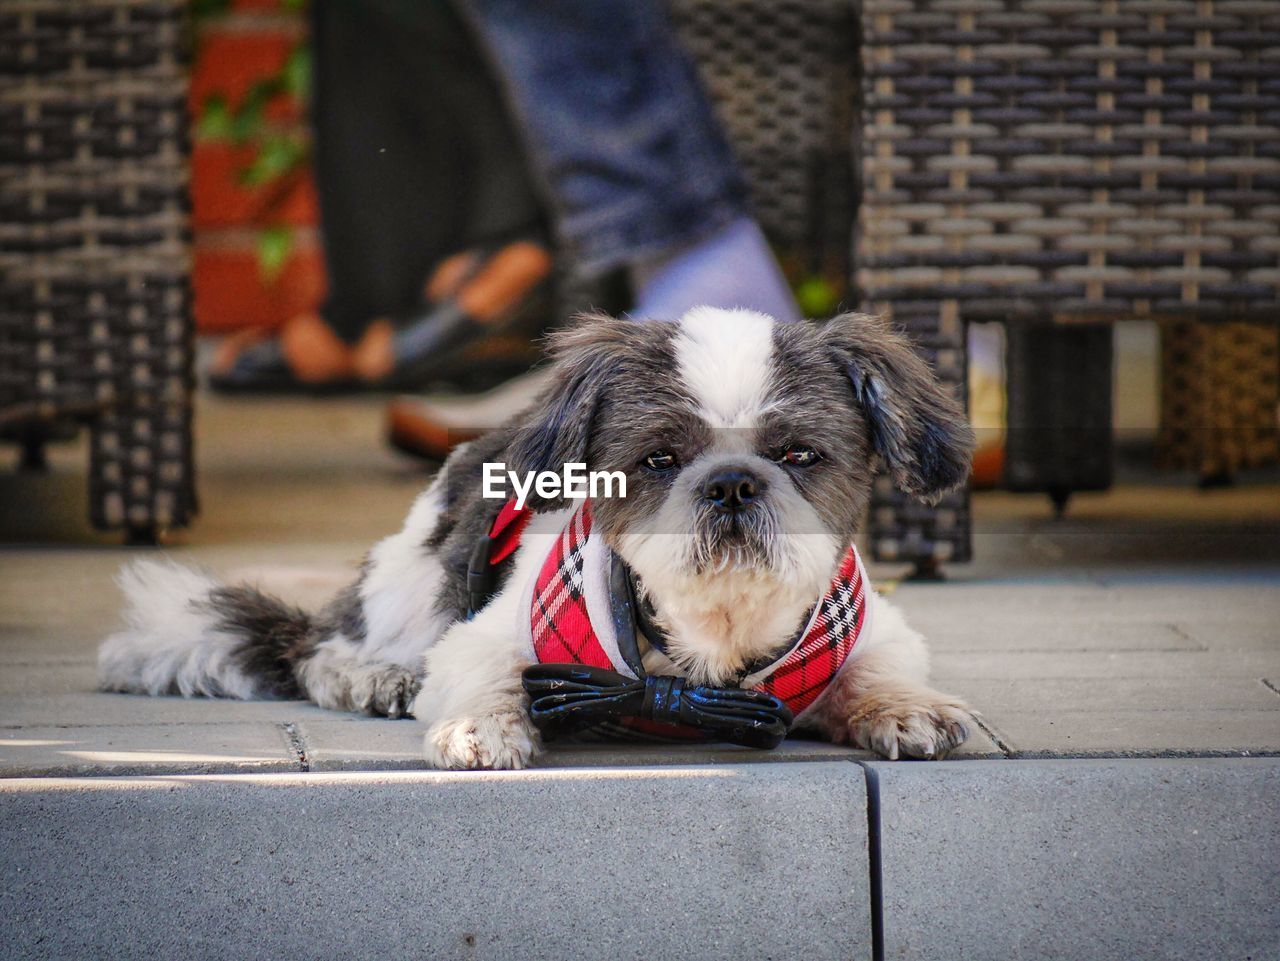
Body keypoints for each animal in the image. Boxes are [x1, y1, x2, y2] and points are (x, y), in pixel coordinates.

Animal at [99, 312, 977, 772]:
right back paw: (374, 675)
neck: (707, 640)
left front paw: (903, 707)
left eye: (799, 454)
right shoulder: (481, 638)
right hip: (414, 580)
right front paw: (482, 726)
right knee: (324, 648)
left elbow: (879, 672)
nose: (732, 482)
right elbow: (485, 678)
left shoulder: (874, 627)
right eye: (659, 458)